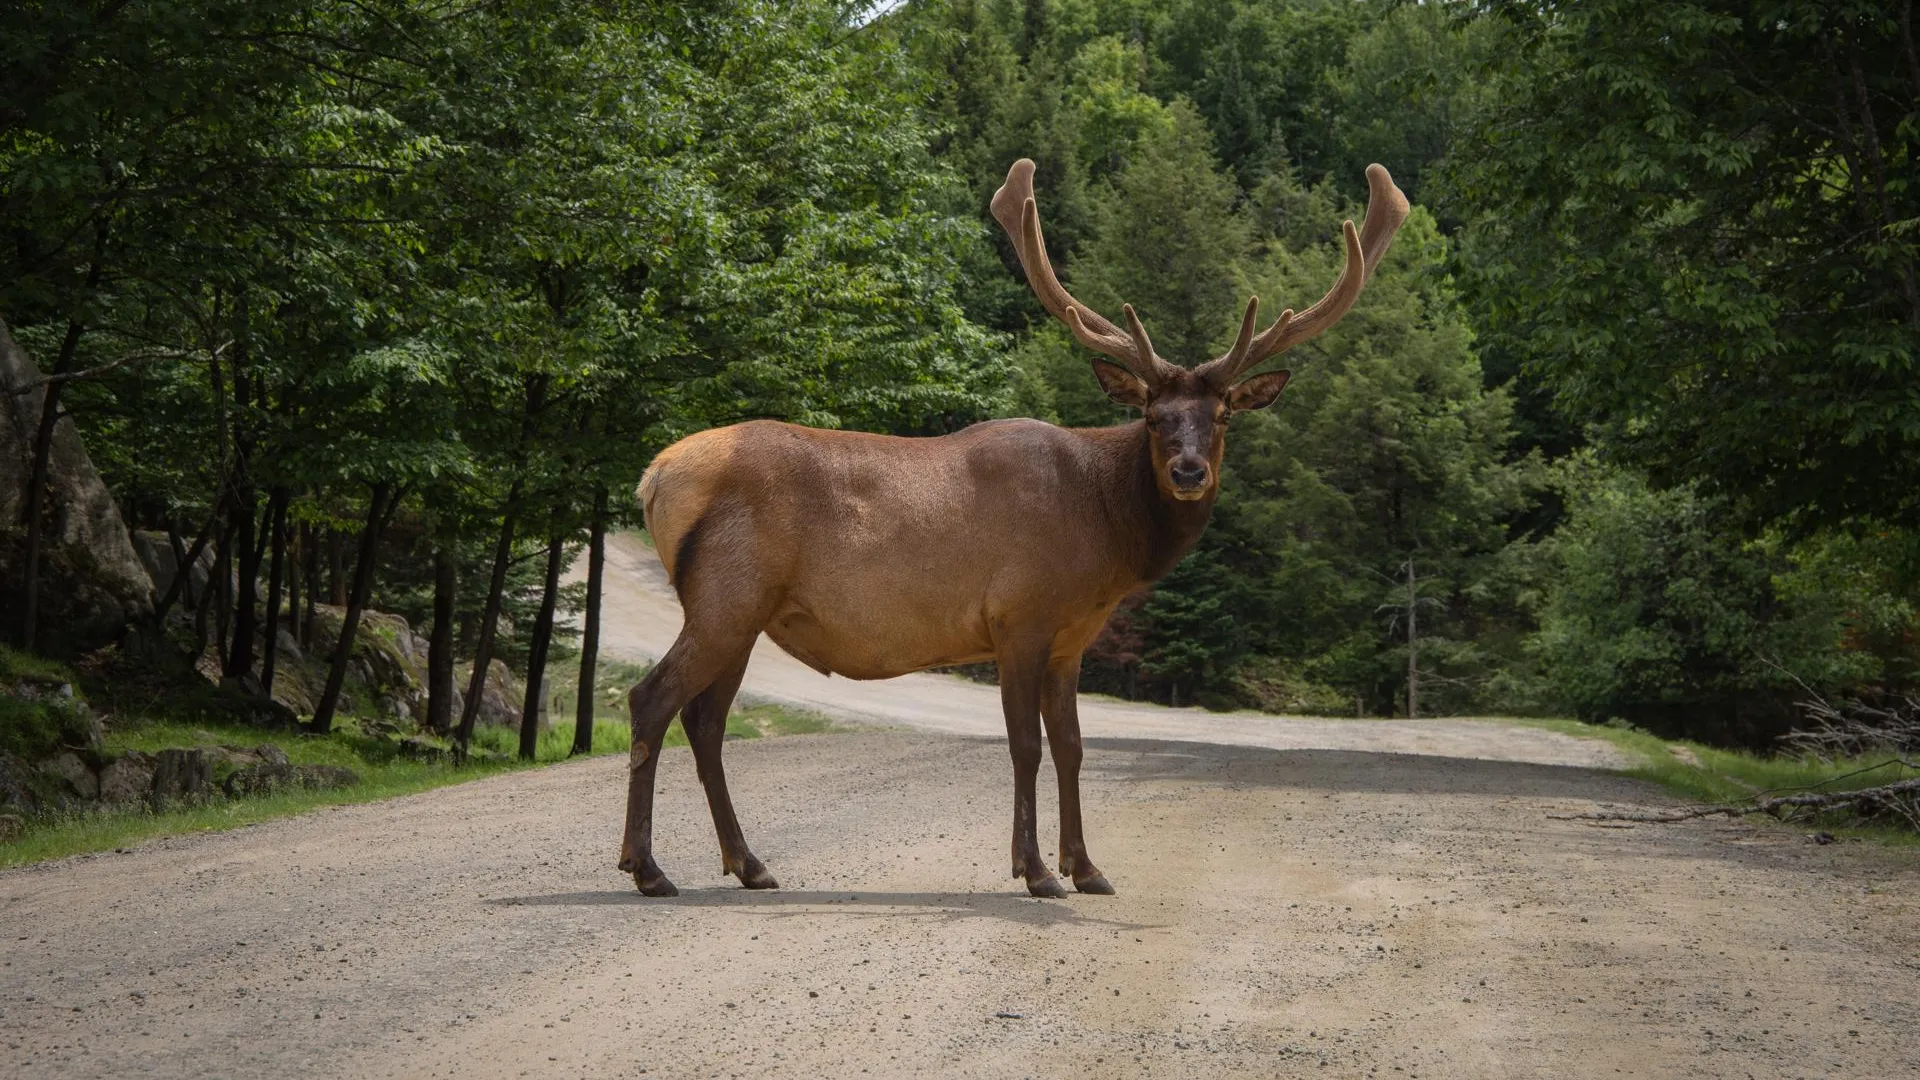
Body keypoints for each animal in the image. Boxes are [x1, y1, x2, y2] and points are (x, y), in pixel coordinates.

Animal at [622, 155, 1405, 895]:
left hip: (744, 611)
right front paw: (1036, 871)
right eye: (1154, 416)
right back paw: (648, 867)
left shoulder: (1071, 639)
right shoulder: (1017, 616)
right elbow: (1025, 746)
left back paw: (748, 864)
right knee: (652, 699)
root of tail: (654, 476)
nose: (1188, 472)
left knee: (705, 720)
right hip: (727, 594)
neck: (1106, 538)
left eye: (1222, 418)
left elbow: (1073, 746)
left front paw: (1088, 867)